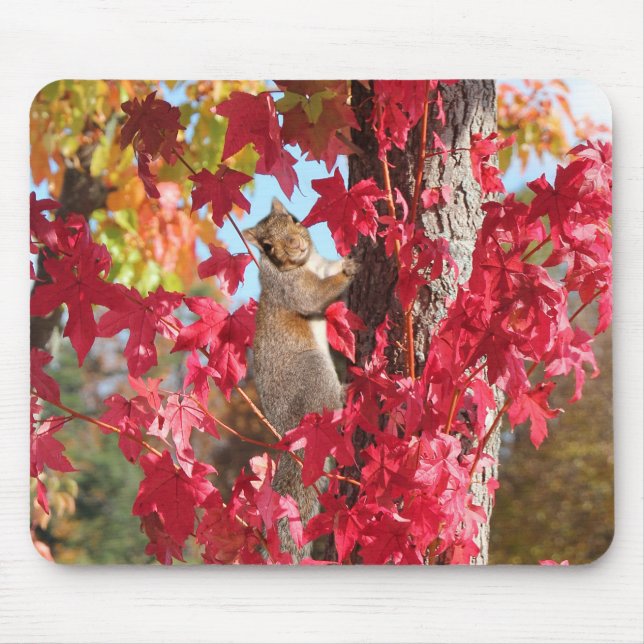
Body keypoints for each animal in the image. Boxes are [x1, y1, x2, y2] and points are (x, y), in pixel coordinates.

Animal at [243, 198, 357, 562]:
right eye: (267, 247)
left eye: (294, 218)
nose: (294, 244)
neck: (311, 264)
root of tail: (292, 432)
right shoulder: (292, 289)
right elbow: (315, 296)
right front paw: (350, 269)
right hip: (313, 372)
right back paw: (345, 392)